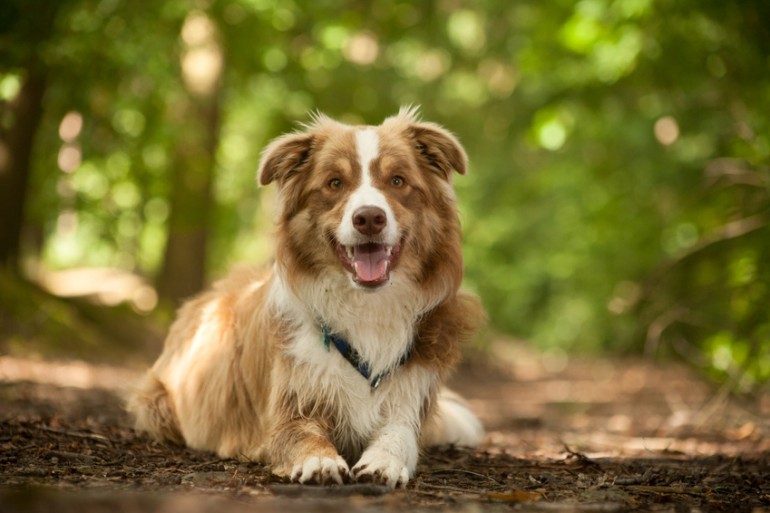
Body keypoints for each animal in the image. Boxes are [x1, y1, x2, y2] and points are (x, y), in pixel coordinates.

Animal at [128, 106, 484, 486]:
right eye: (335, 183)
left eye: (398, 181)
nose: (369, 218)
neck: (366, 306)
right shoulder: (287, 410)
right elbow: (304, 435)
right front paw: (320, 461)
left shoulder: (409, 402)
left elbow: (398, 436)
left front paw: (383, 462)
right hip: (158, 403)